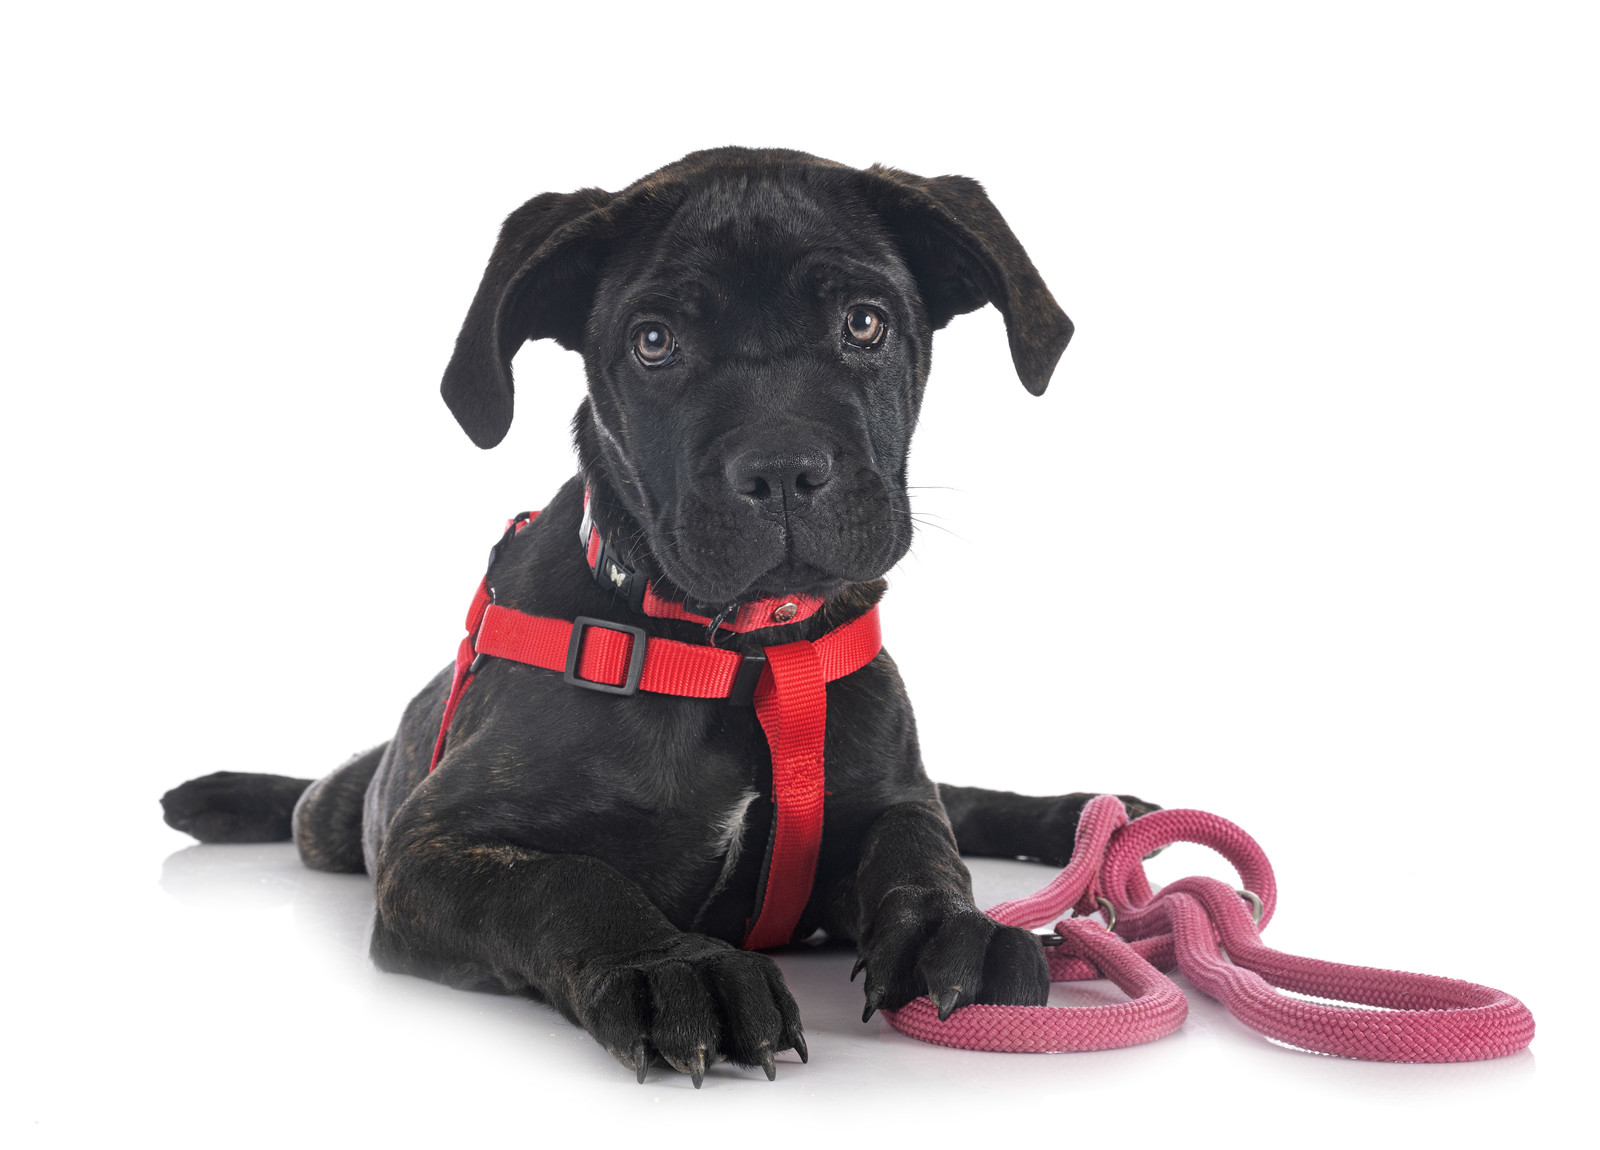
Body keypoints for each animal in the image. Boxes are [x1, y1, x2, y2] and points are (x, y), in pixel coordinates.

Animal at [165, 146, 1152, 1087]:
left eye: (865, 322)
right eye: (654, 341)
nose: (782, 467)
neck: (746, 655)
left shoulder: (884, 796)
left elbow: (921, 840)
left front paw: (956, 927)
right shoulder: (432, 848)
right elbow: (572, 882)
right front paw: (672, 967)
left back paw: (1091, 816)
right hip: (341, 815)